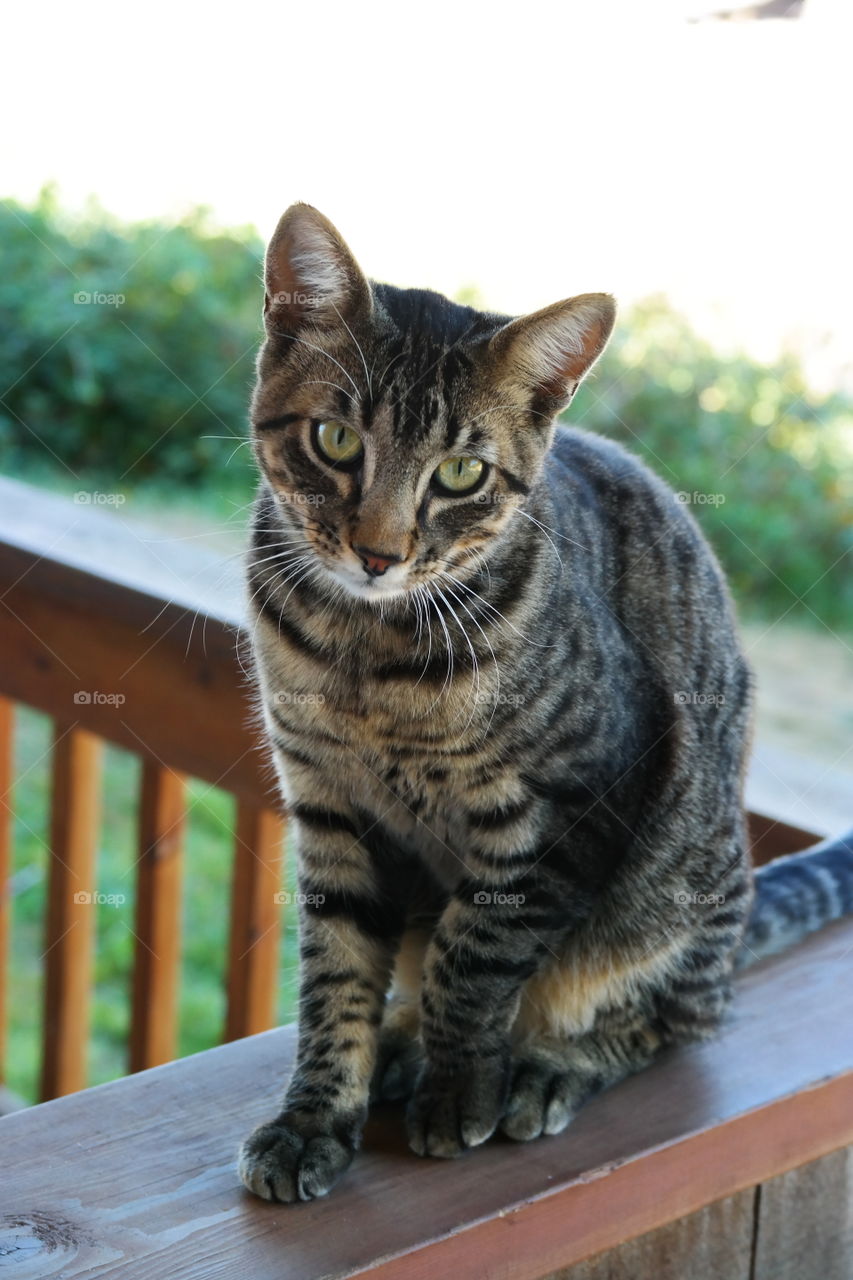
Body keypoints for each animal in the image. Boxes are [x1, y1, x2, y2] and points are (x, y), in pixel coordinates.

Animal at [235, 199, 850, 1198]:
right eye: (336, 441)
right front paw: (315, 1117)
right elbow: (336, 978)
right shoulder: (328, 807)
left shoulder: (573, 801)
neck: (367, 654)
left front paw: (459, 1089)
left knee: (670, 1021)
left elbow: (475, 957)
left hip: (678, 883)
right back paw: (403, 1045)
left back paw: (542, 1066)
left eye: (461, 474)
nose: (377, 553)